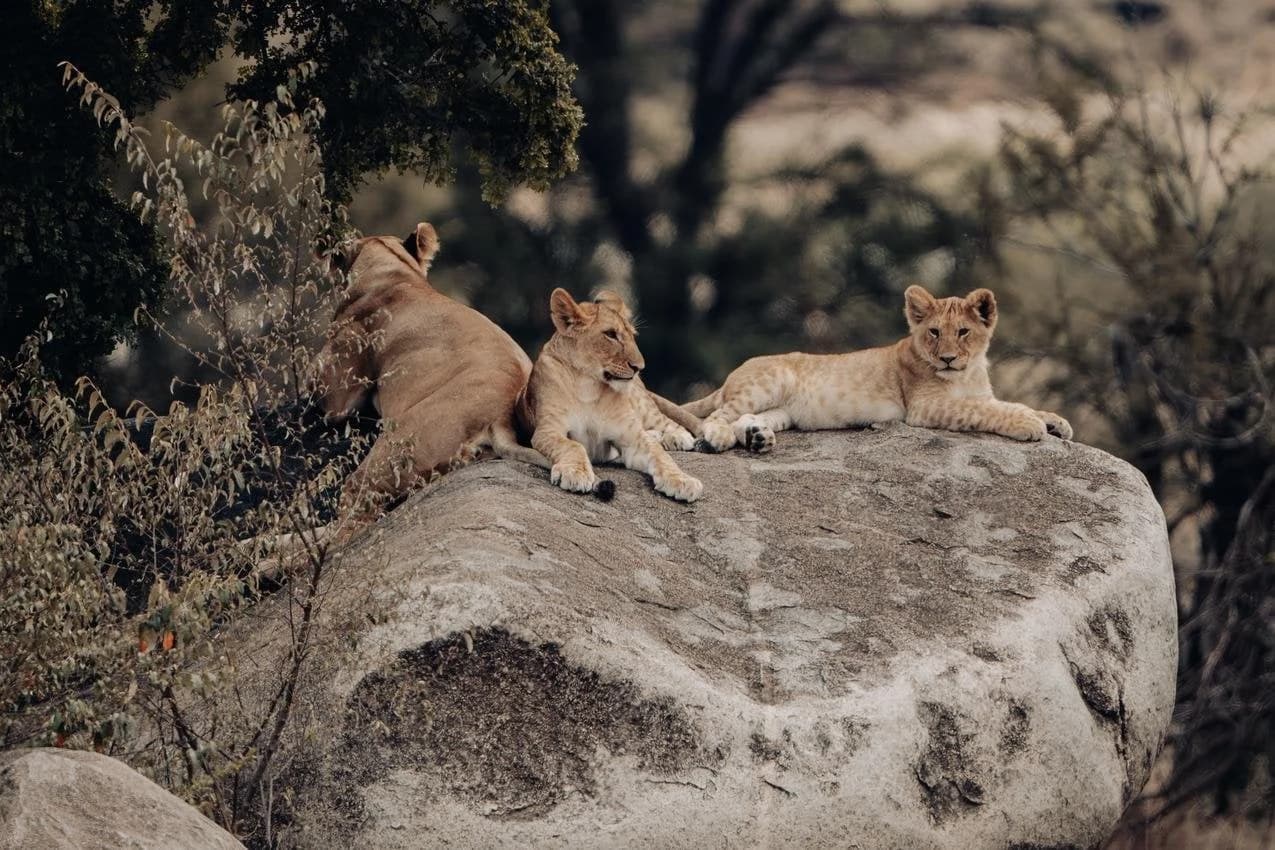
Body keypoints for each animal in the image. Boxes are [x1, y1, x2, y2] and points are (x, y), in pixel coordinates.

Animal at [519, 288, 704, 502]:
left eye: (633, 335)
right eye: (610, 334)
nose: (639, 367)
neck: (588, 386)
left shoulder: (631, 437)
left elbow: (660, 455)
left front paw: (683, 480)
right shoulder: (547, 430)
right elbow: (572, 445)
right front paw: (576, 473)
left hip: (644, 407)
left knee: (666, 422)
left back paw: (675, 437)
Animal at [683, 285, 1073, 452]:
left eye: (963, 332)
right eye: (934, 332)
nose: (947, 358)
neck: (967, 372)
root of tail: (733, 375)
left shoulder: (979, 393)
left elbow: (1007, 403)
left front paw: (1055, 421)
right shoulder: (924, 407)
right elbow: (986, 411)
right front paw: (1029, 425)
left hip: (782, 412)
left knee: (743, 419)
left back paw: (756, 438)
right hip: (770, 381)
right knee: (716, 416)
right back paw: (717, 438)